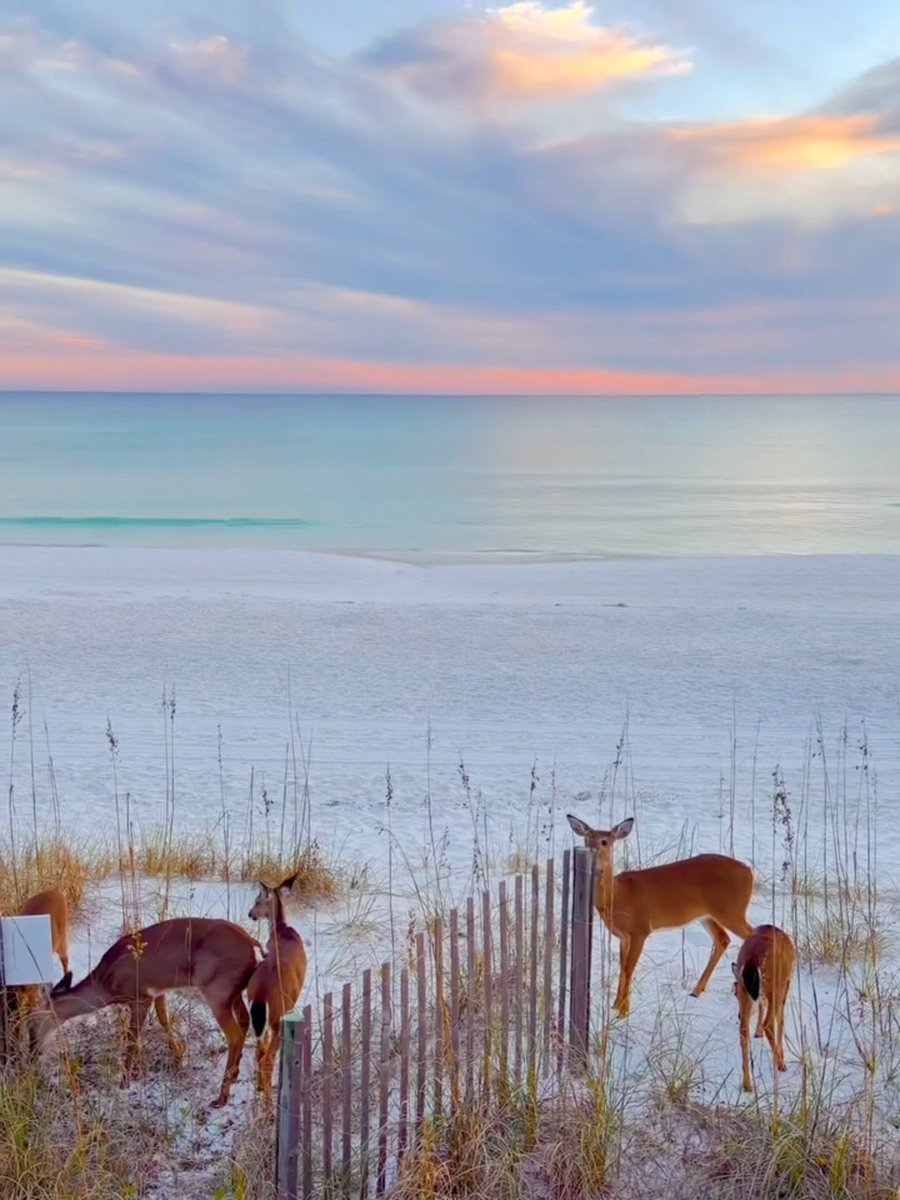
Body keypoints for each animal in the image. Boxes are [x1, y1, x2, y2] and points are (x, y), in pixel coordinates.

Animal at [30, 917, 260, 1107]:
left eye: (31, 1022)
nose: (32, 1052)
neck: (106, 984)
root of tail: (253, 947)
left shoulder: (140, 996)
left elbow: (131, 1037)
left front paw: (124, 1082)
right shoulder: (158, 991)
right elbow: (163, 1020)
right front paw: (177, 1058)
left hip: (217, 990)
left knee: (234, 1034)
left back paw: (221, 1096)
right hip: (234, 993)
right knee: (245, 1020)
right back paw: (235, 1075)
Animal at [246, 871, 308, 1096]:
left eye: (257, 901)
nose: (250, 914)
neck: (282, 931)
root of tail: (261, 993)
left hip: (257, 1017)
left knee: (260, 1051)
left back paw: (259, 1087)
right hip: (277, 1016)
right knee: (268, 1056)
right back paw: (268, 1093)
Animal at [566, 814, 755, 1018]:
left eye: (604, 842)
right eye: (586, 839)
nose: (592, 853)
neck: (618, 896)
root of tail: (750, 872)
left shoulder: (640, 930)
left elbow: (629, 969)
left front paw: (623, 1012)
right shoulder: (624, 936)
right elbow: (622, 968)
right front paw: (616, 1005)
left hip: (732, 911)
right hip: (709, 915)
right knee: (723, 938)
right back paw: (696, 991)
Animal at [732, 923, 795, 1092]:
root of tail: (753, 960)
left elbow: (761, 1005)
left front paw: (757, 1032)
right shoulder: (785, 984)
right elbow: (781, 1020)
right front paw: (782, 1054)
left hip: (745, 990)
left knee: (743, 1032)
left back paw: (748, 1084)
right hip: (776, 985)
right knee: (770, 1023)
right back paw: (780, 1063)